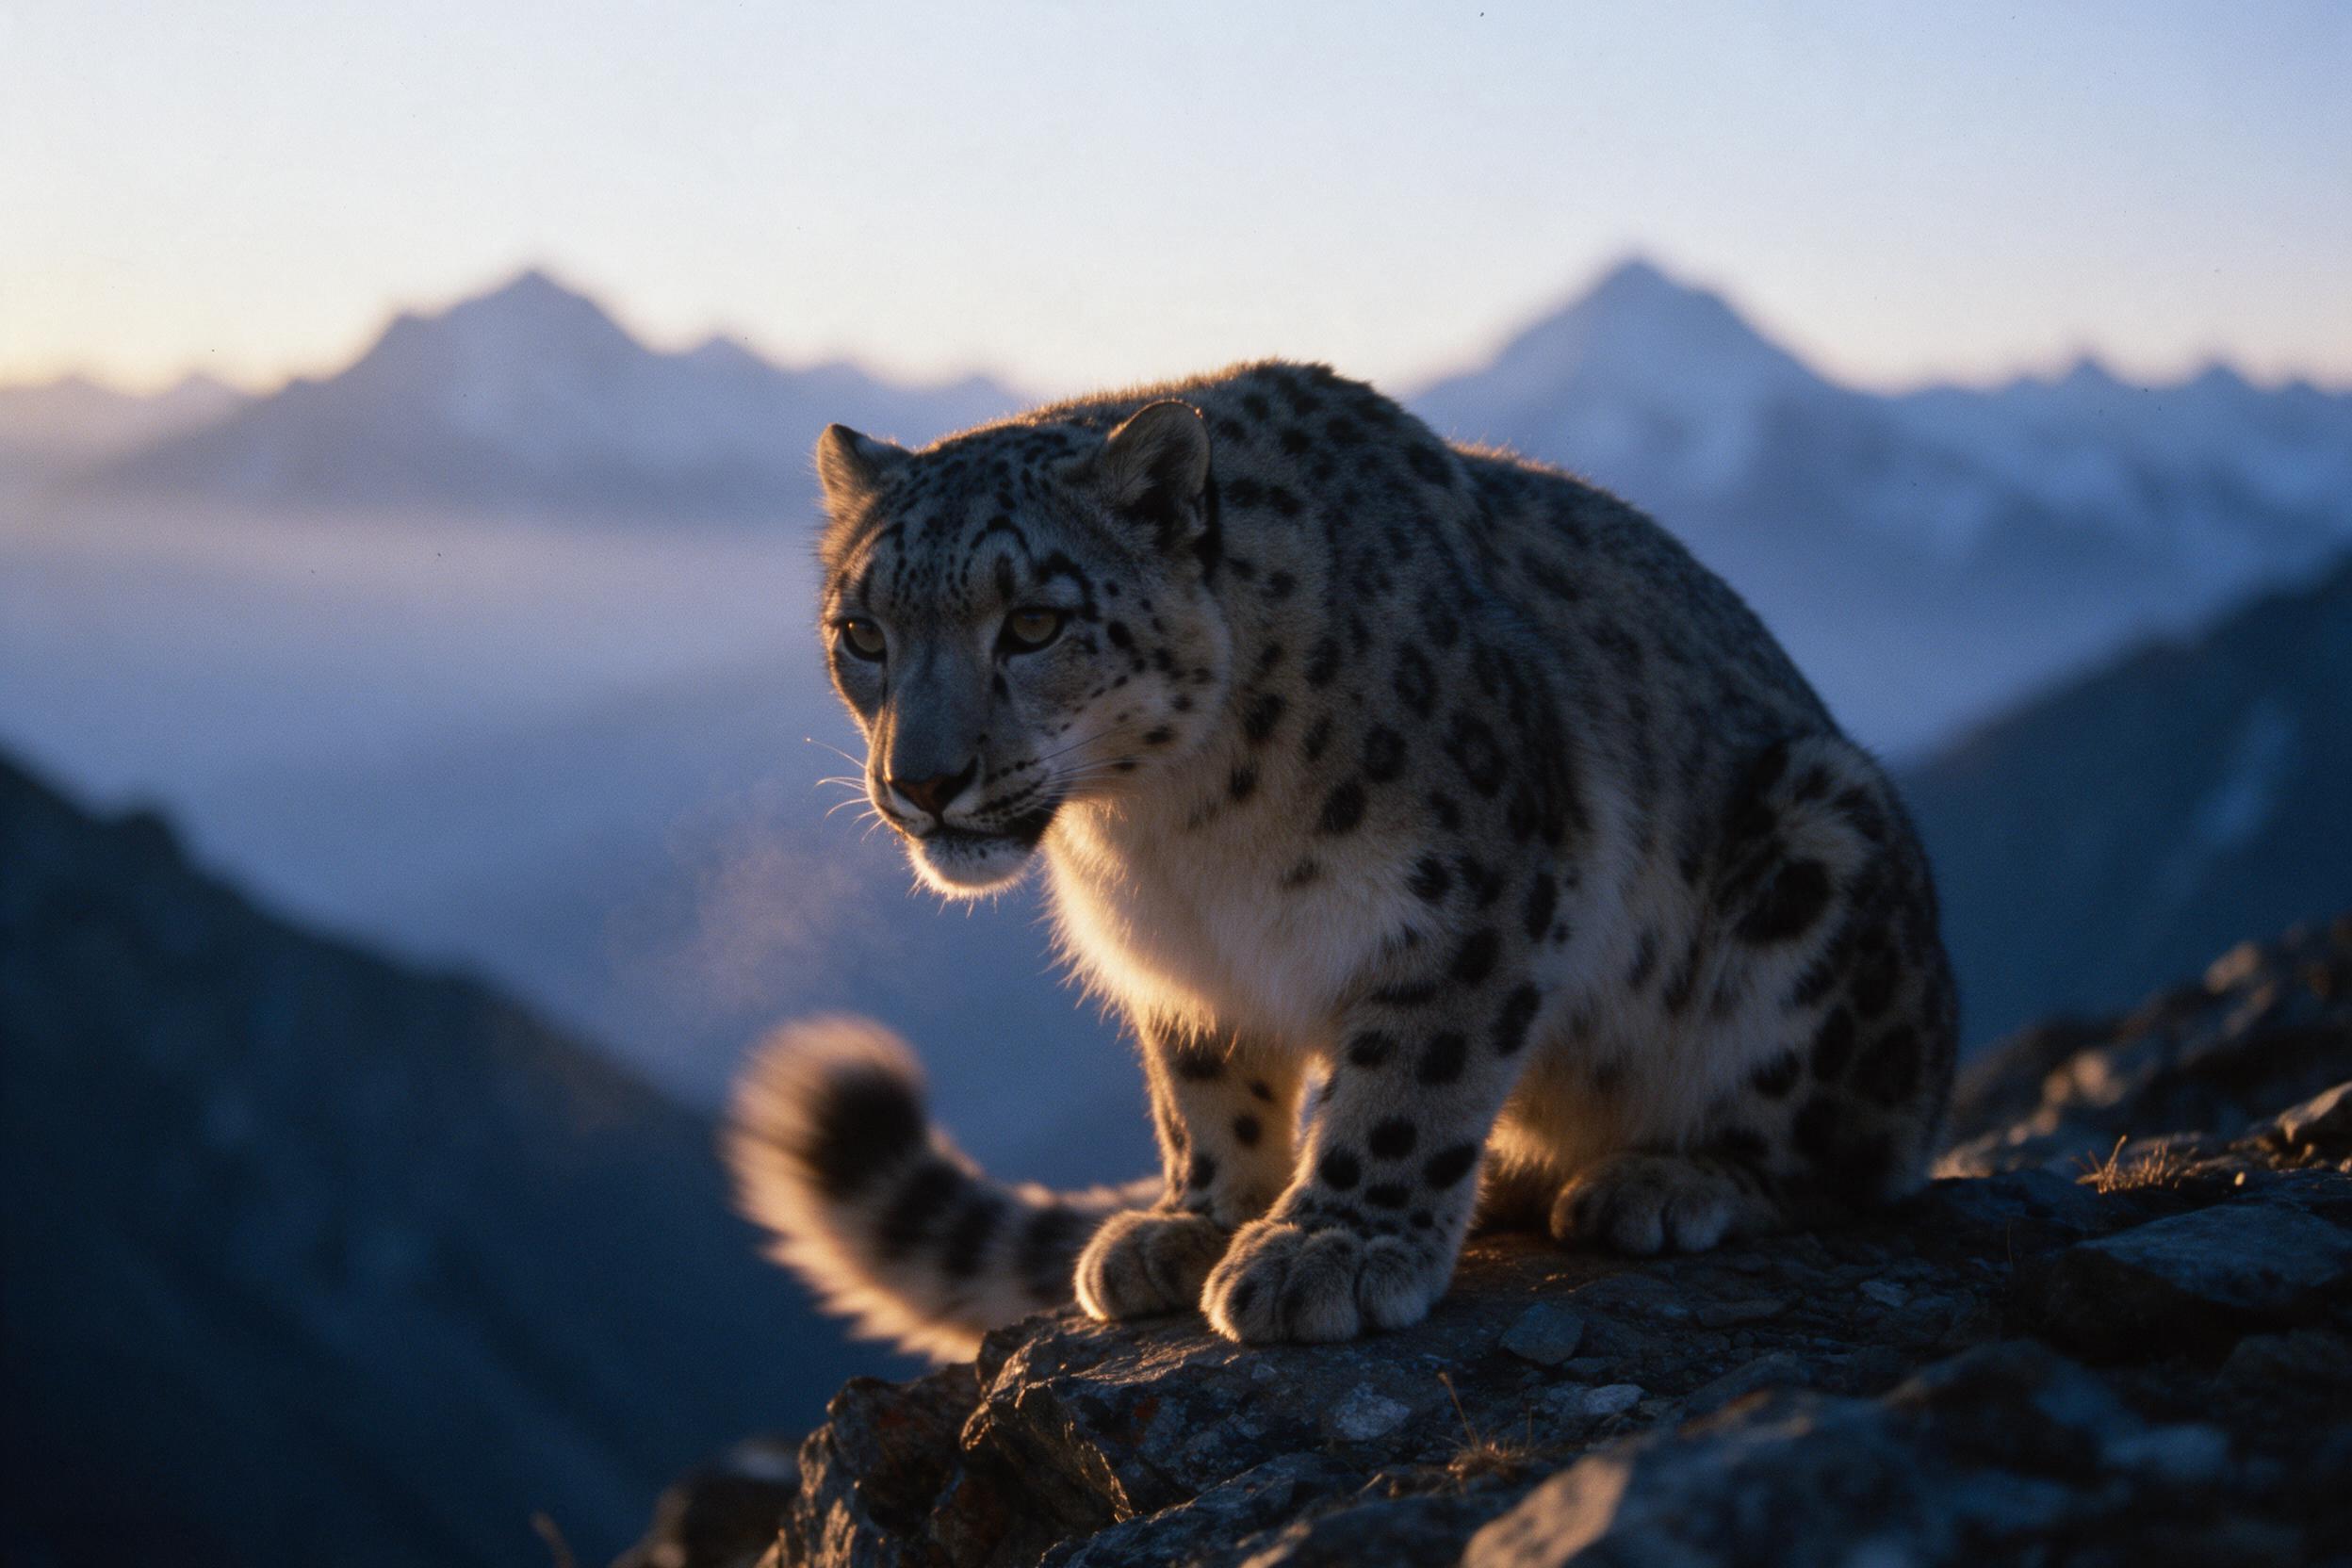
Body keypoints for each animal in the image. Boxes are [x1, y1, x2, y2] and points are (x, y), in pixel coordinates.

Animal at [724, 360, 1957, 1358]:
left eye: (1032, 621)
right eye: (862, 633)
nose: (923, 782)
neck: (1170, 831)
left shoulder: (1467, 898)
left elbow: (1412, 1077)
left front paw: (1331, 1248)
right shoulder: (1179, 964)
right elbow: (1203, 1092)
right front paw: (1195, 1220)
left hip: (1821, 837)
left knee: (1850, 1153)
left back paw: (1662, 1179)